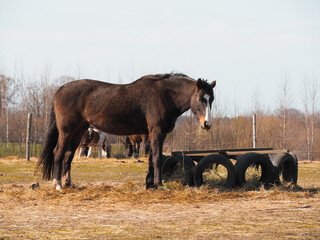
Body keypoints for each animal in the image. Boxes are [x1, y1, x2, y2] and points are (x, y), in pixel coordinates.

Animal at [36, 73, 216, 189]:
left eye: (212, 99)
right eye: (201, 98)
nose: (207, 124)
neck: (164, 95)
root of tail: (60, 90)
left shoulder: (156, 134)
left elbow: (151, 158)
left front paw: (150, 184)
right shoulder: (156, 131)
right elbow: (157, 158)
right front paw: (159, 184)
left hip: (79, 131)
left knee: (68, 155)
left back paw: (68, 184)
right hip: (66, 131)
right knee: (58, 153)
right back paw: (58, 185)